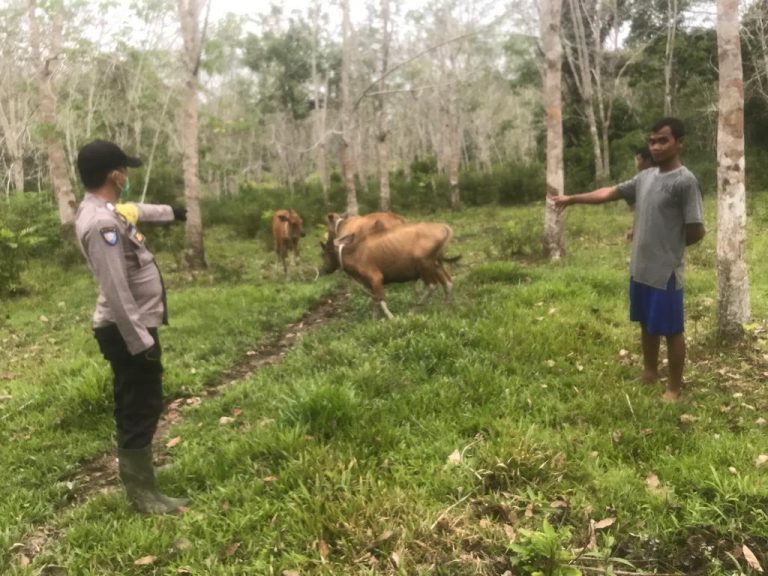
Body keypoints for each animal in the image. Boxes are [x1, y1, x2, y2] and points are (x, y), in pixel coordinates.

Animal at [320, 222, 456, 320]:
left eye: (323, 254)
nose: (324, 270)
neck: (354, 253)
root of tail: (443, 228)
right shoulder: (369, 283)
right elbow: (375, 301)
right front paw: (374, 320)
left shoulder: (376, 278)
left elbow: (380, 300)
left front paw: (390, 318)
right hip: (436, 264)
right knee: (448, 282)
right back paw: (446, 307)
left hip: (424, 265)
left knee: (432, 285)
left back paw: (414, 310)